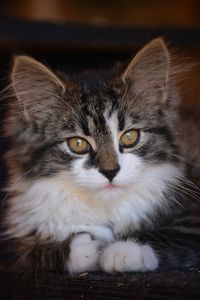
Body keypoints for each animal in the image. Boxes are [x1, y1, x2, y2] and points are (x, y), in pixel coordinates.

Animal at [1, 37, 200, 274]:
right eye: (77, 144)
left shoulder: (192, 215)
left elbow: (168, 233)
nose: (110, 171)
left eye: (130, 137)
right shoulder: (15, 245)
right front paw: (85, 248)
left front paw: (122, 250)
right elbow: (31, 251)